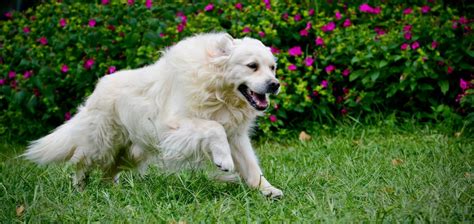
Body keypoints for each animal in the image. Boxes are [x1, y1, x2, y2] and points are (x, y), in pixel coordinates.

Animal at [23, 32, 282, 198]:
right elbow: (213, 128)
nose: (275, 84)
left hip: (129, 152)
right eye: (252, 66)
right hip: (102, 143)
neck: (217, 89)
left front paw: (267, 190)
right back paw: (80, 189)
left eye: (273, 68)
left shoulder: (236, 137)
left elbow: (251, 165)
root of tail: (96, 90)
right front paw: (224, 161)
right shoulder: (174, 125)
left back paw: (111, 192)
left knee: (108, 172)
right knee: (82, 162)